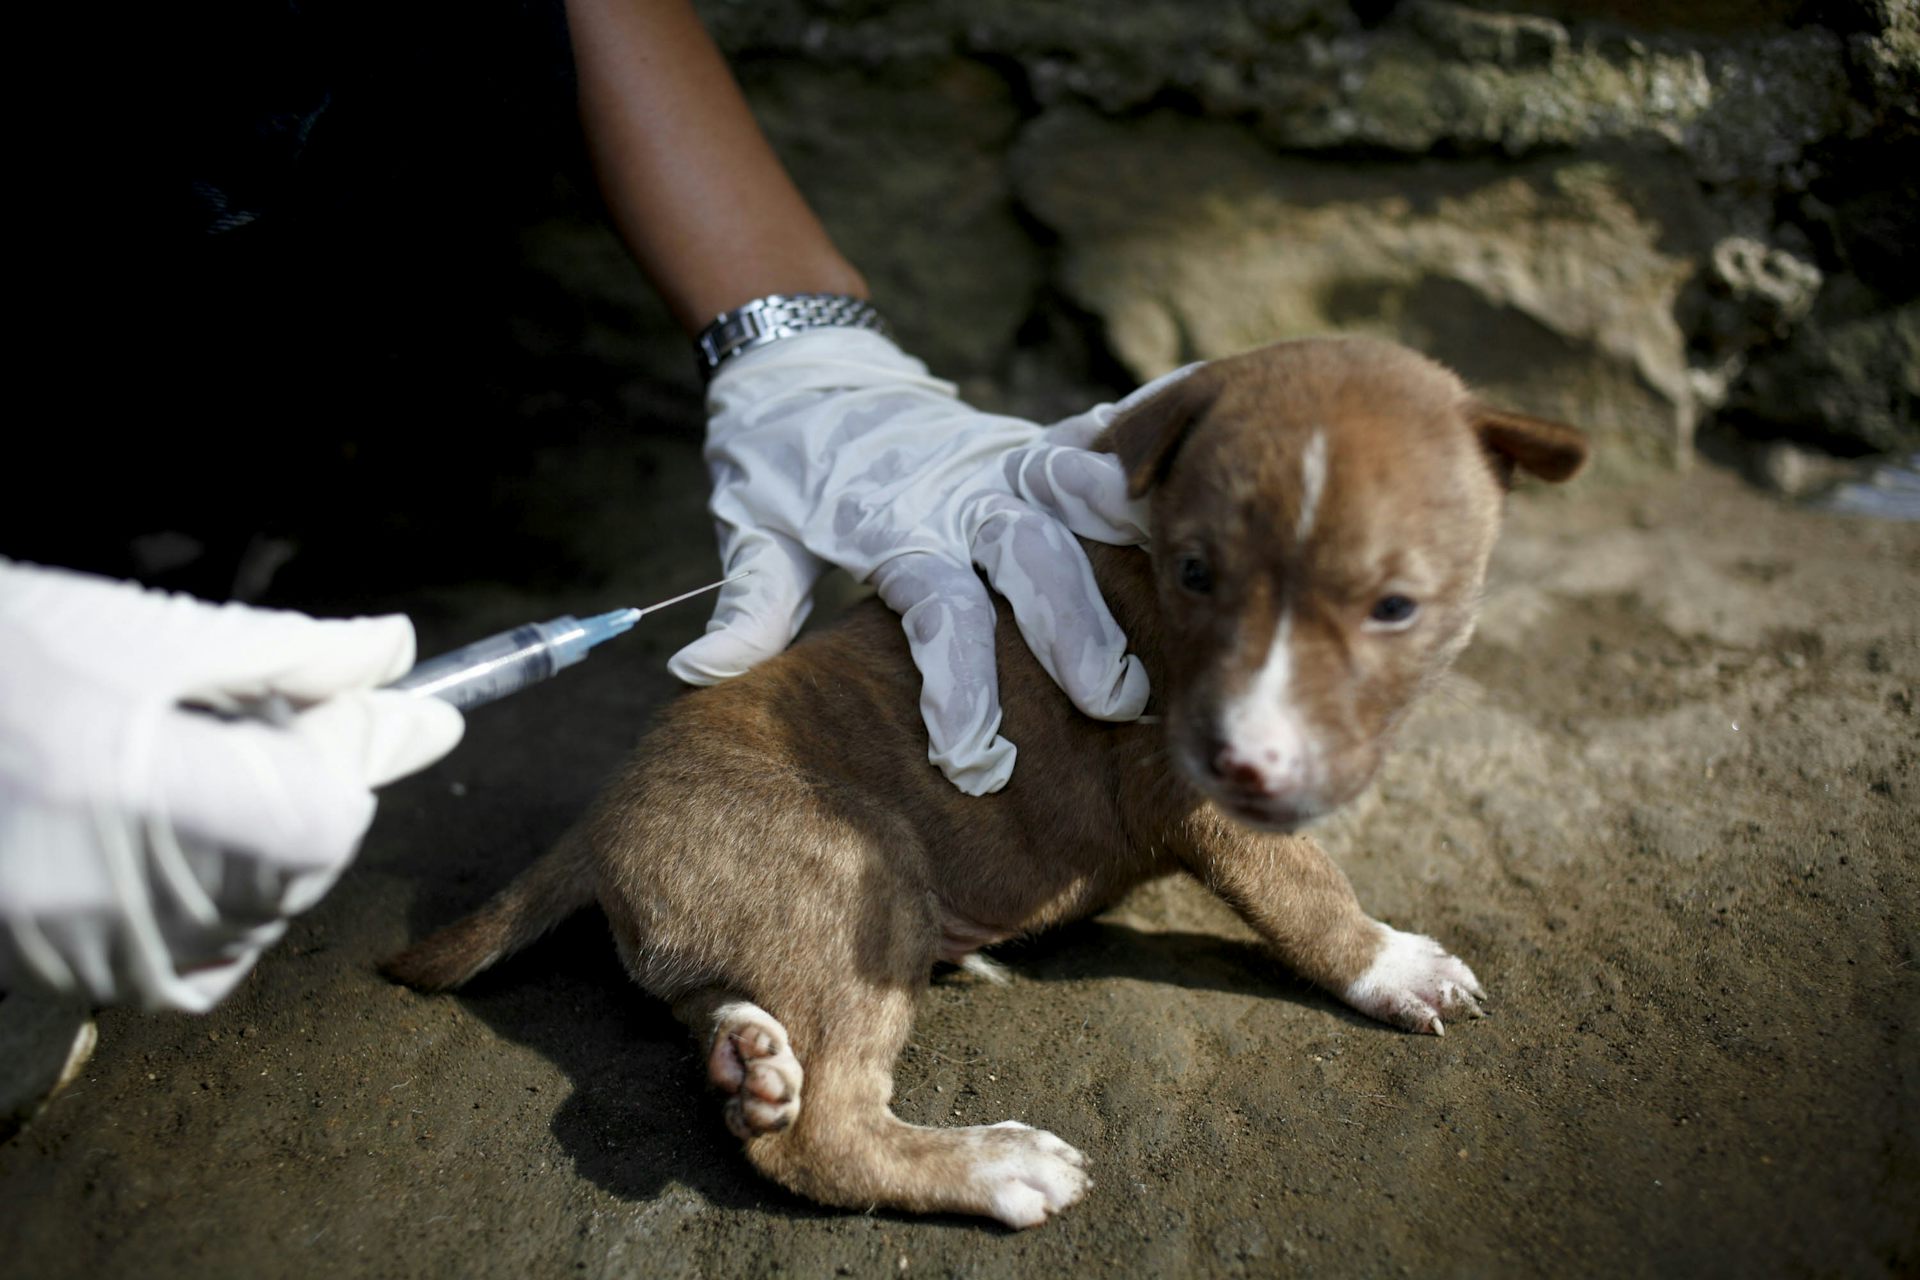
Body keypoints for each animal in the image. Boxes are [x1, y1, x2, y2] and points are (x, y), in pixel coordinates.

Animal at [382, 337, 1582, 1228]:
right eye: (1197, 576)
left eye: (1394, 607)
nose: (1253, 754)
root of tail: (596, 820)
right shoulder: (1195, 790)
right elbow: (1307, 888)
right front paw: (1393, 963)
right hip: (850, 881)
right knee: (820, 1139)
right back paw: (995, 1164)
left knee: (737, 1038)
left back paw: (748, 1062)